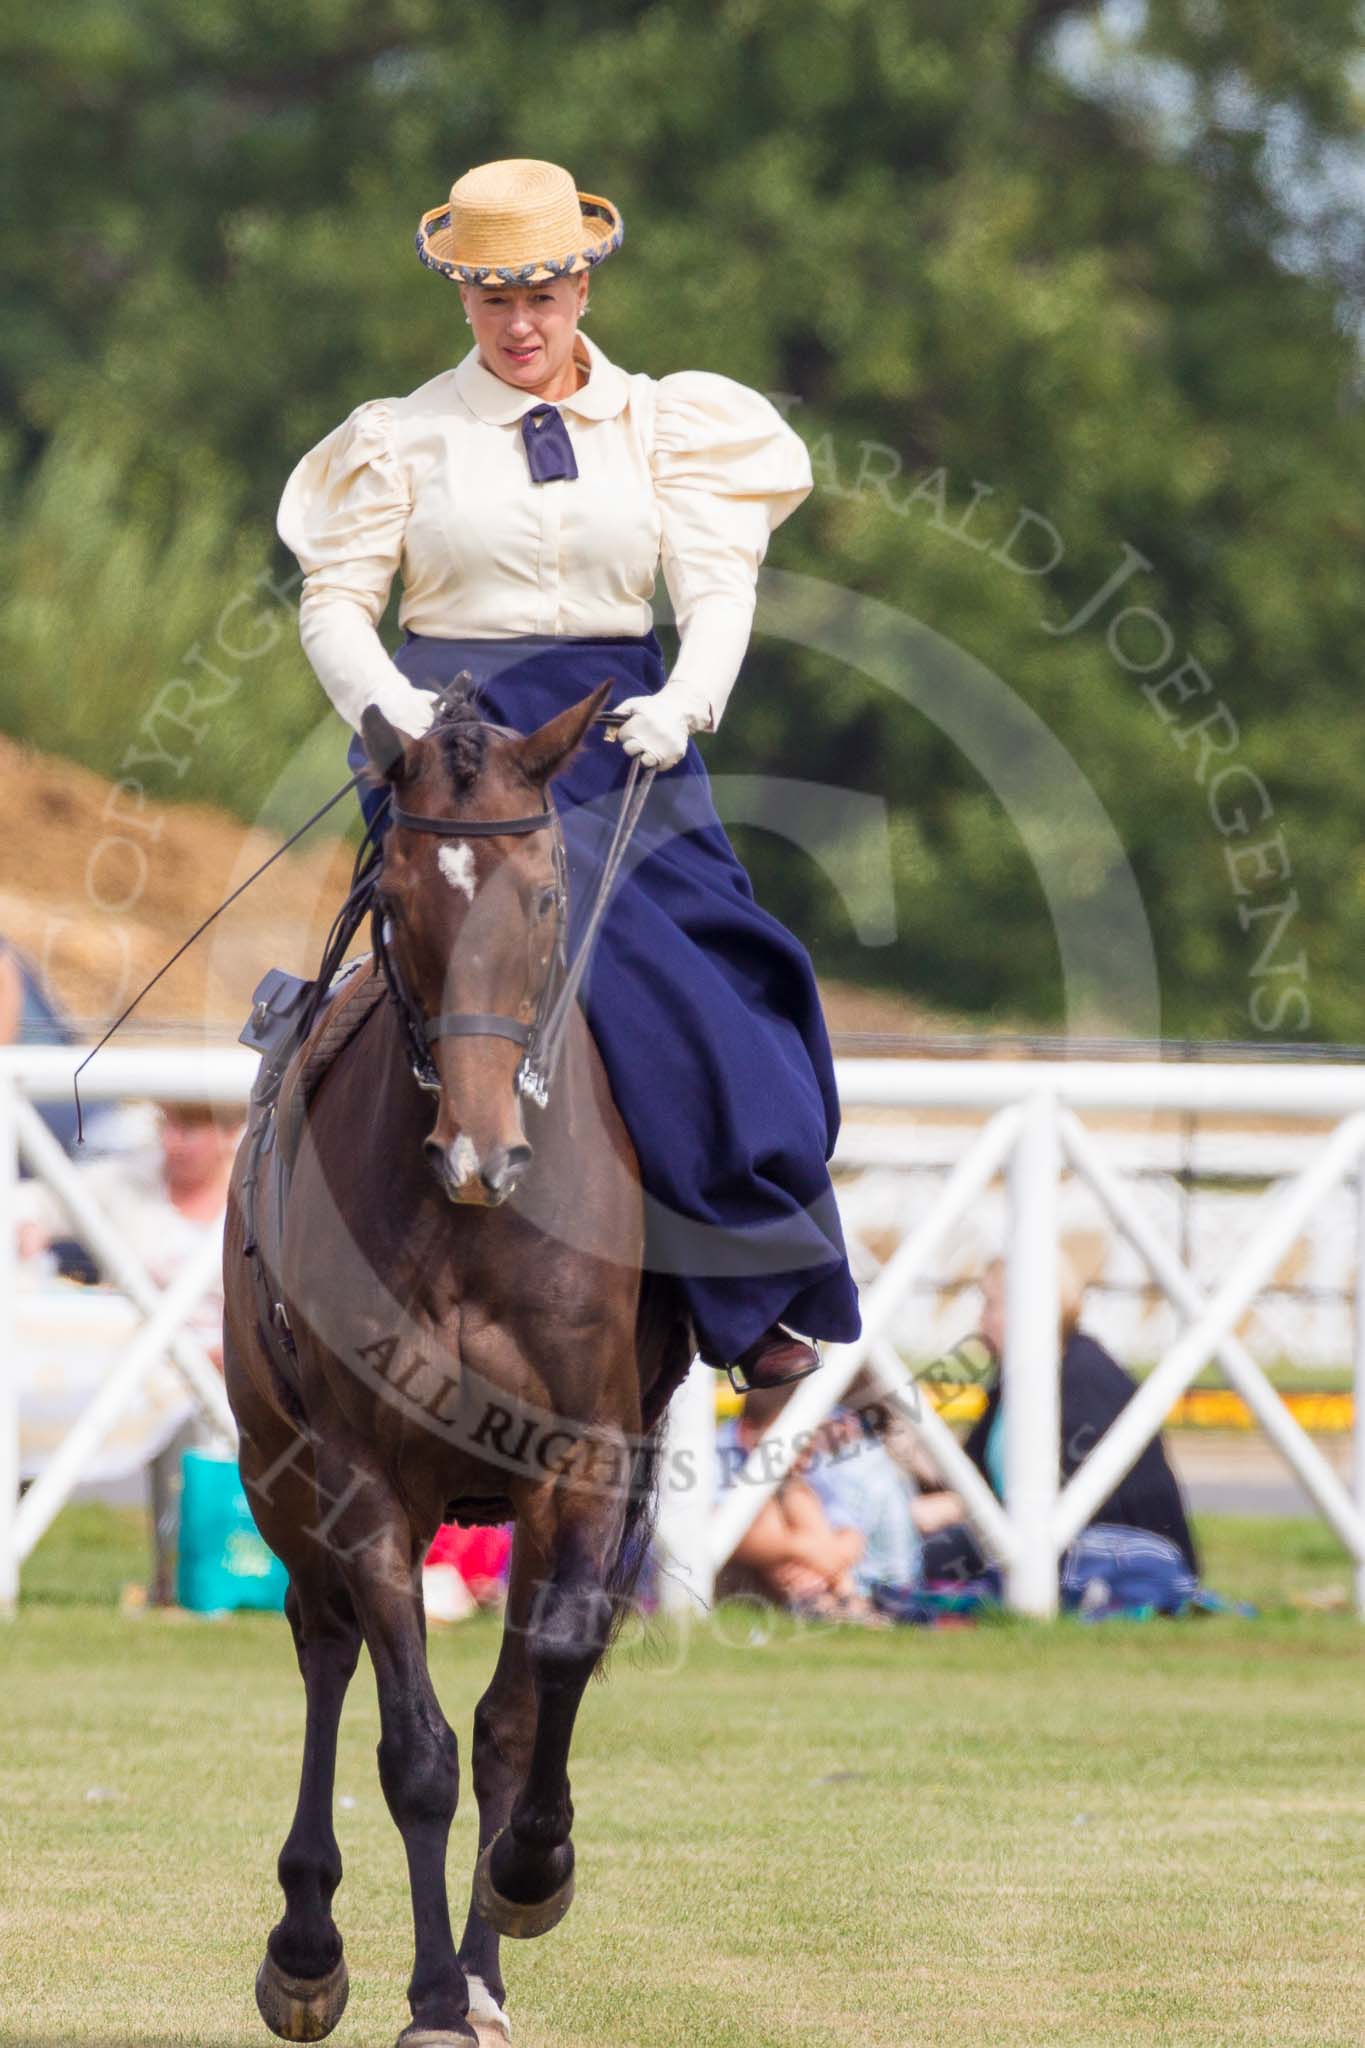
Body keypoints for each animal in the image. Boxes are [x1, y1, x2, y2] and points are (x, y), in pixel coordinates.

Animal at [227, 688, 695, 2048]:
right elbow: (414, 1751)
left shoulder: (584, 1463)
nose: (480, 1152)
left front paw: (531, 1873)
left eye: (543, 895)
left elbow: (532, 1693)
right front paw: (431, 1990)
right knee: (326, 1646)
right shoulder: (363, 1481)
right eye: (395, 898)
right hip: (281, 1479)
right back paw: (310, 1940)